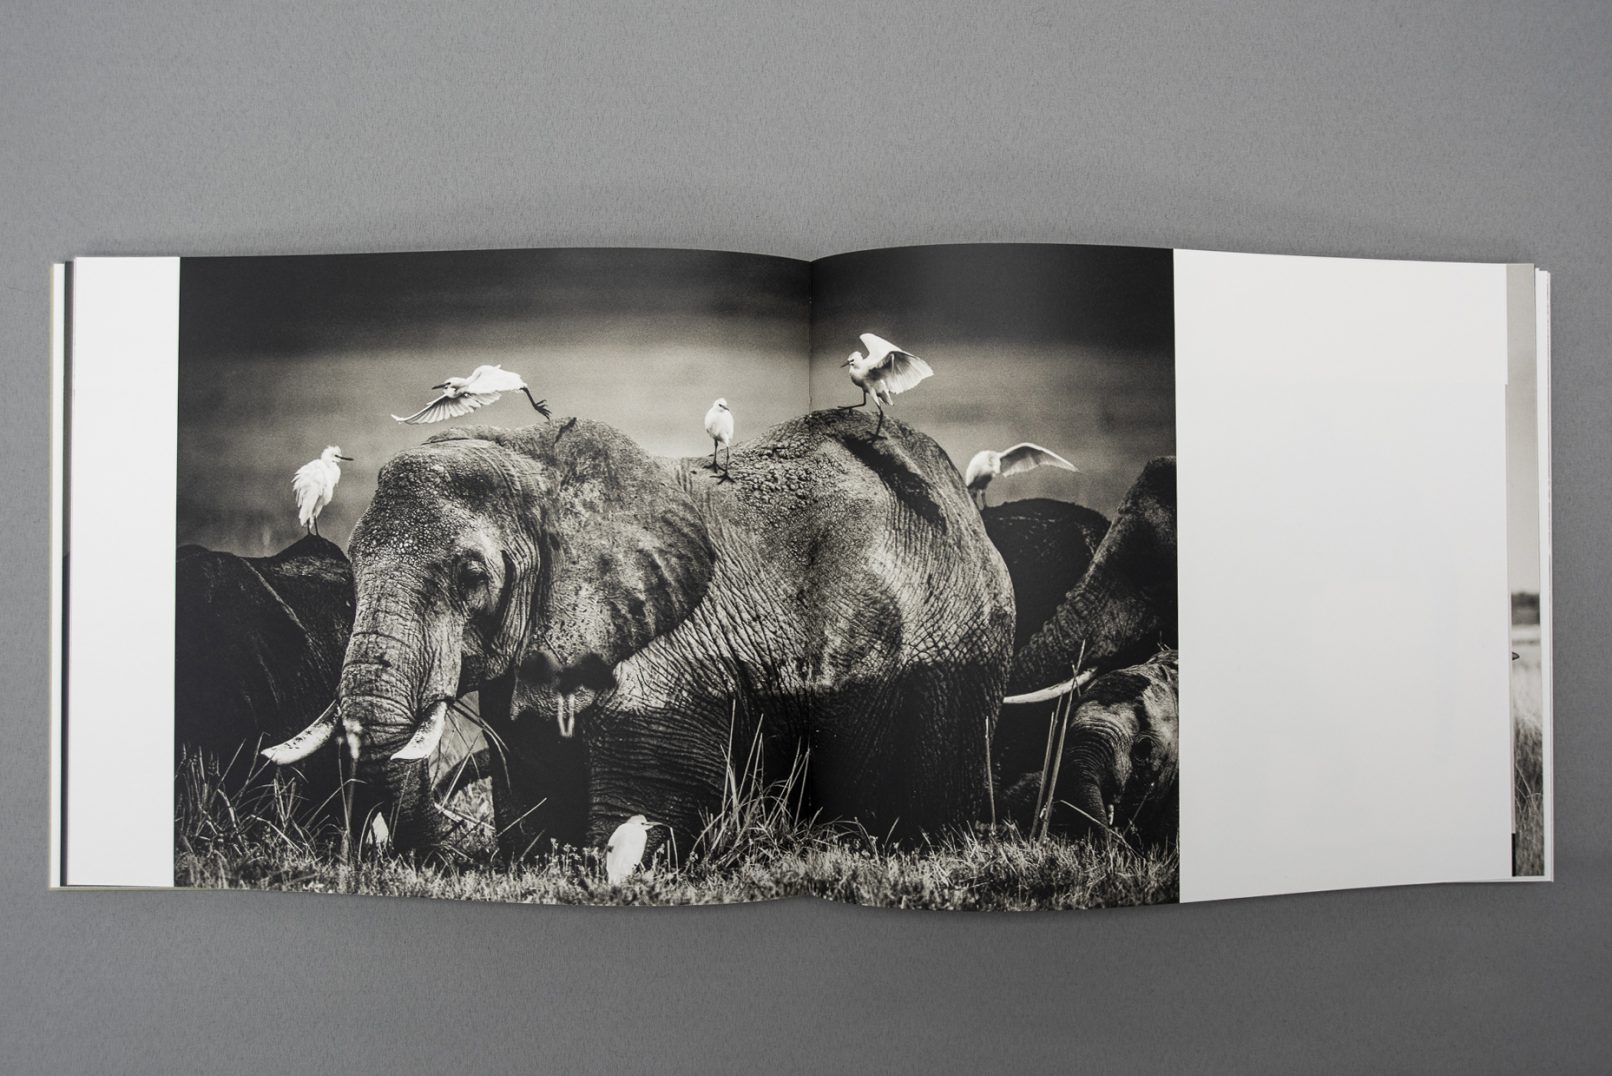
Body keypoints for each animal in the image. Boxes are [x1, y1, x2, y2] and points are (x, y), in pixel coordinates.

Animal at [268, 408, 1016, 858]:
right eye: (351, 564)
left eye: (471, 575)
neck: (544, 469)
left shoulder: (667, 664)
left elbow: (631, 827)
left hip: (953, 660)